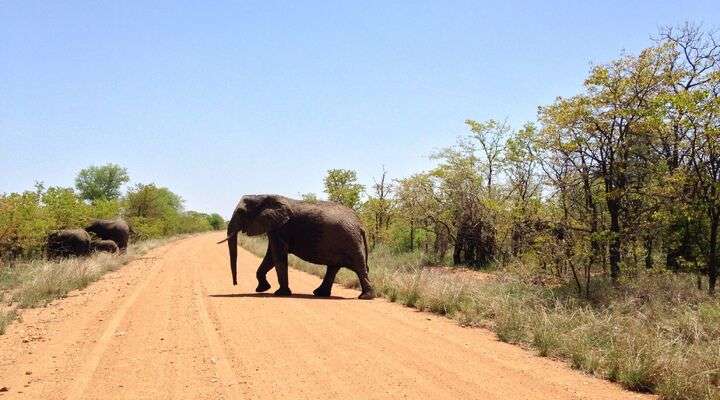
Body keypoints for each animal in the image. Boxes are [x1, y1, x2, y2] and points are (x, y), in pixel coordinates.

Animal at [218, 194, 376, 300]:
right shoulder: (275, 227)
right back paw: (319, 294)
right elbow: (270, 256)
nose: (235, 284)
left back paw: (365, 297)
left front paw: (280, 293)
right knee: (333, 268)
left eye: (241, 212)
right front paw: (262, 289)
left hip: (350, 241)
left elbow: (278, 255)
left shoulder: (281, 228)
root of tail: (361, 225)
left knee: (359, 268)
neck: (263, 196)